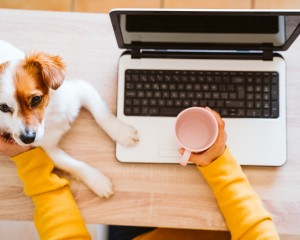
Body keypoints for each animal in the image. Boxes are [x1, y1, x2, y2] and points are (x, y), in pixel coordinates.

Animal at [0, 40, 138, 198]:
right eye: (3, 107)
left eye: (36, 99)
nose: (27, 139)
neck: (49, 116)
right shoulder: (48, 149)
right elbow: (73, 164)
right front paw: (97, 180)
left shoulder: (81, 90)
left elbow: (102, 115)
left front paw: (121, 132)